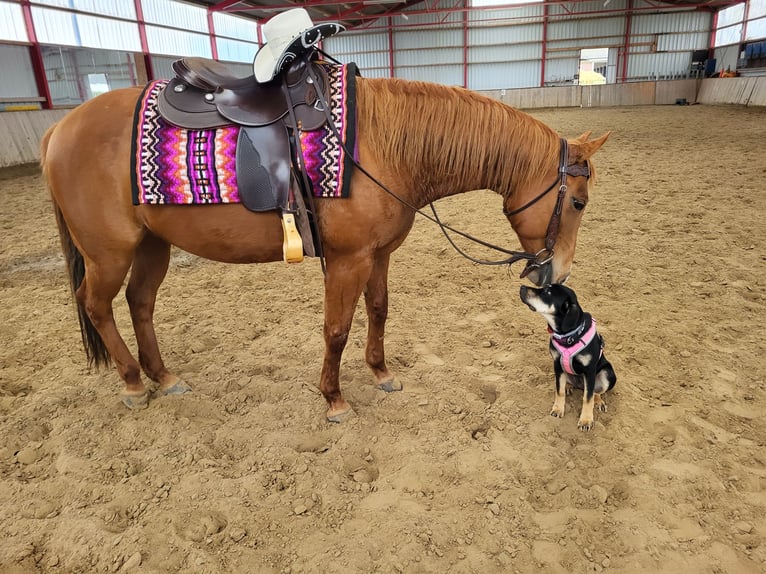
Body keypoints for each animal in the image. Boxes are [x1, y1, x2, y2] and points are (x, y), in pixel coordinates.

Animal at [40, 75, 609, 422]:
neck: (379, 144)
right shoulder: (347, 261)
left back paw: (163, 376)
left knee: (140, 303)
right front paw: (334, 399)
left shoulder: (379, 255)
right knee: (96, 305)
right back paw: (134, 383)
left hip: (152, 245)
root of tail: (60, 128)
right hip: (109, 252)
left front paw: (381, 373)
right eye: (578, 202)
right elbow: (336, 329)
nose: (556, 273)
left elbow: (378, 311)